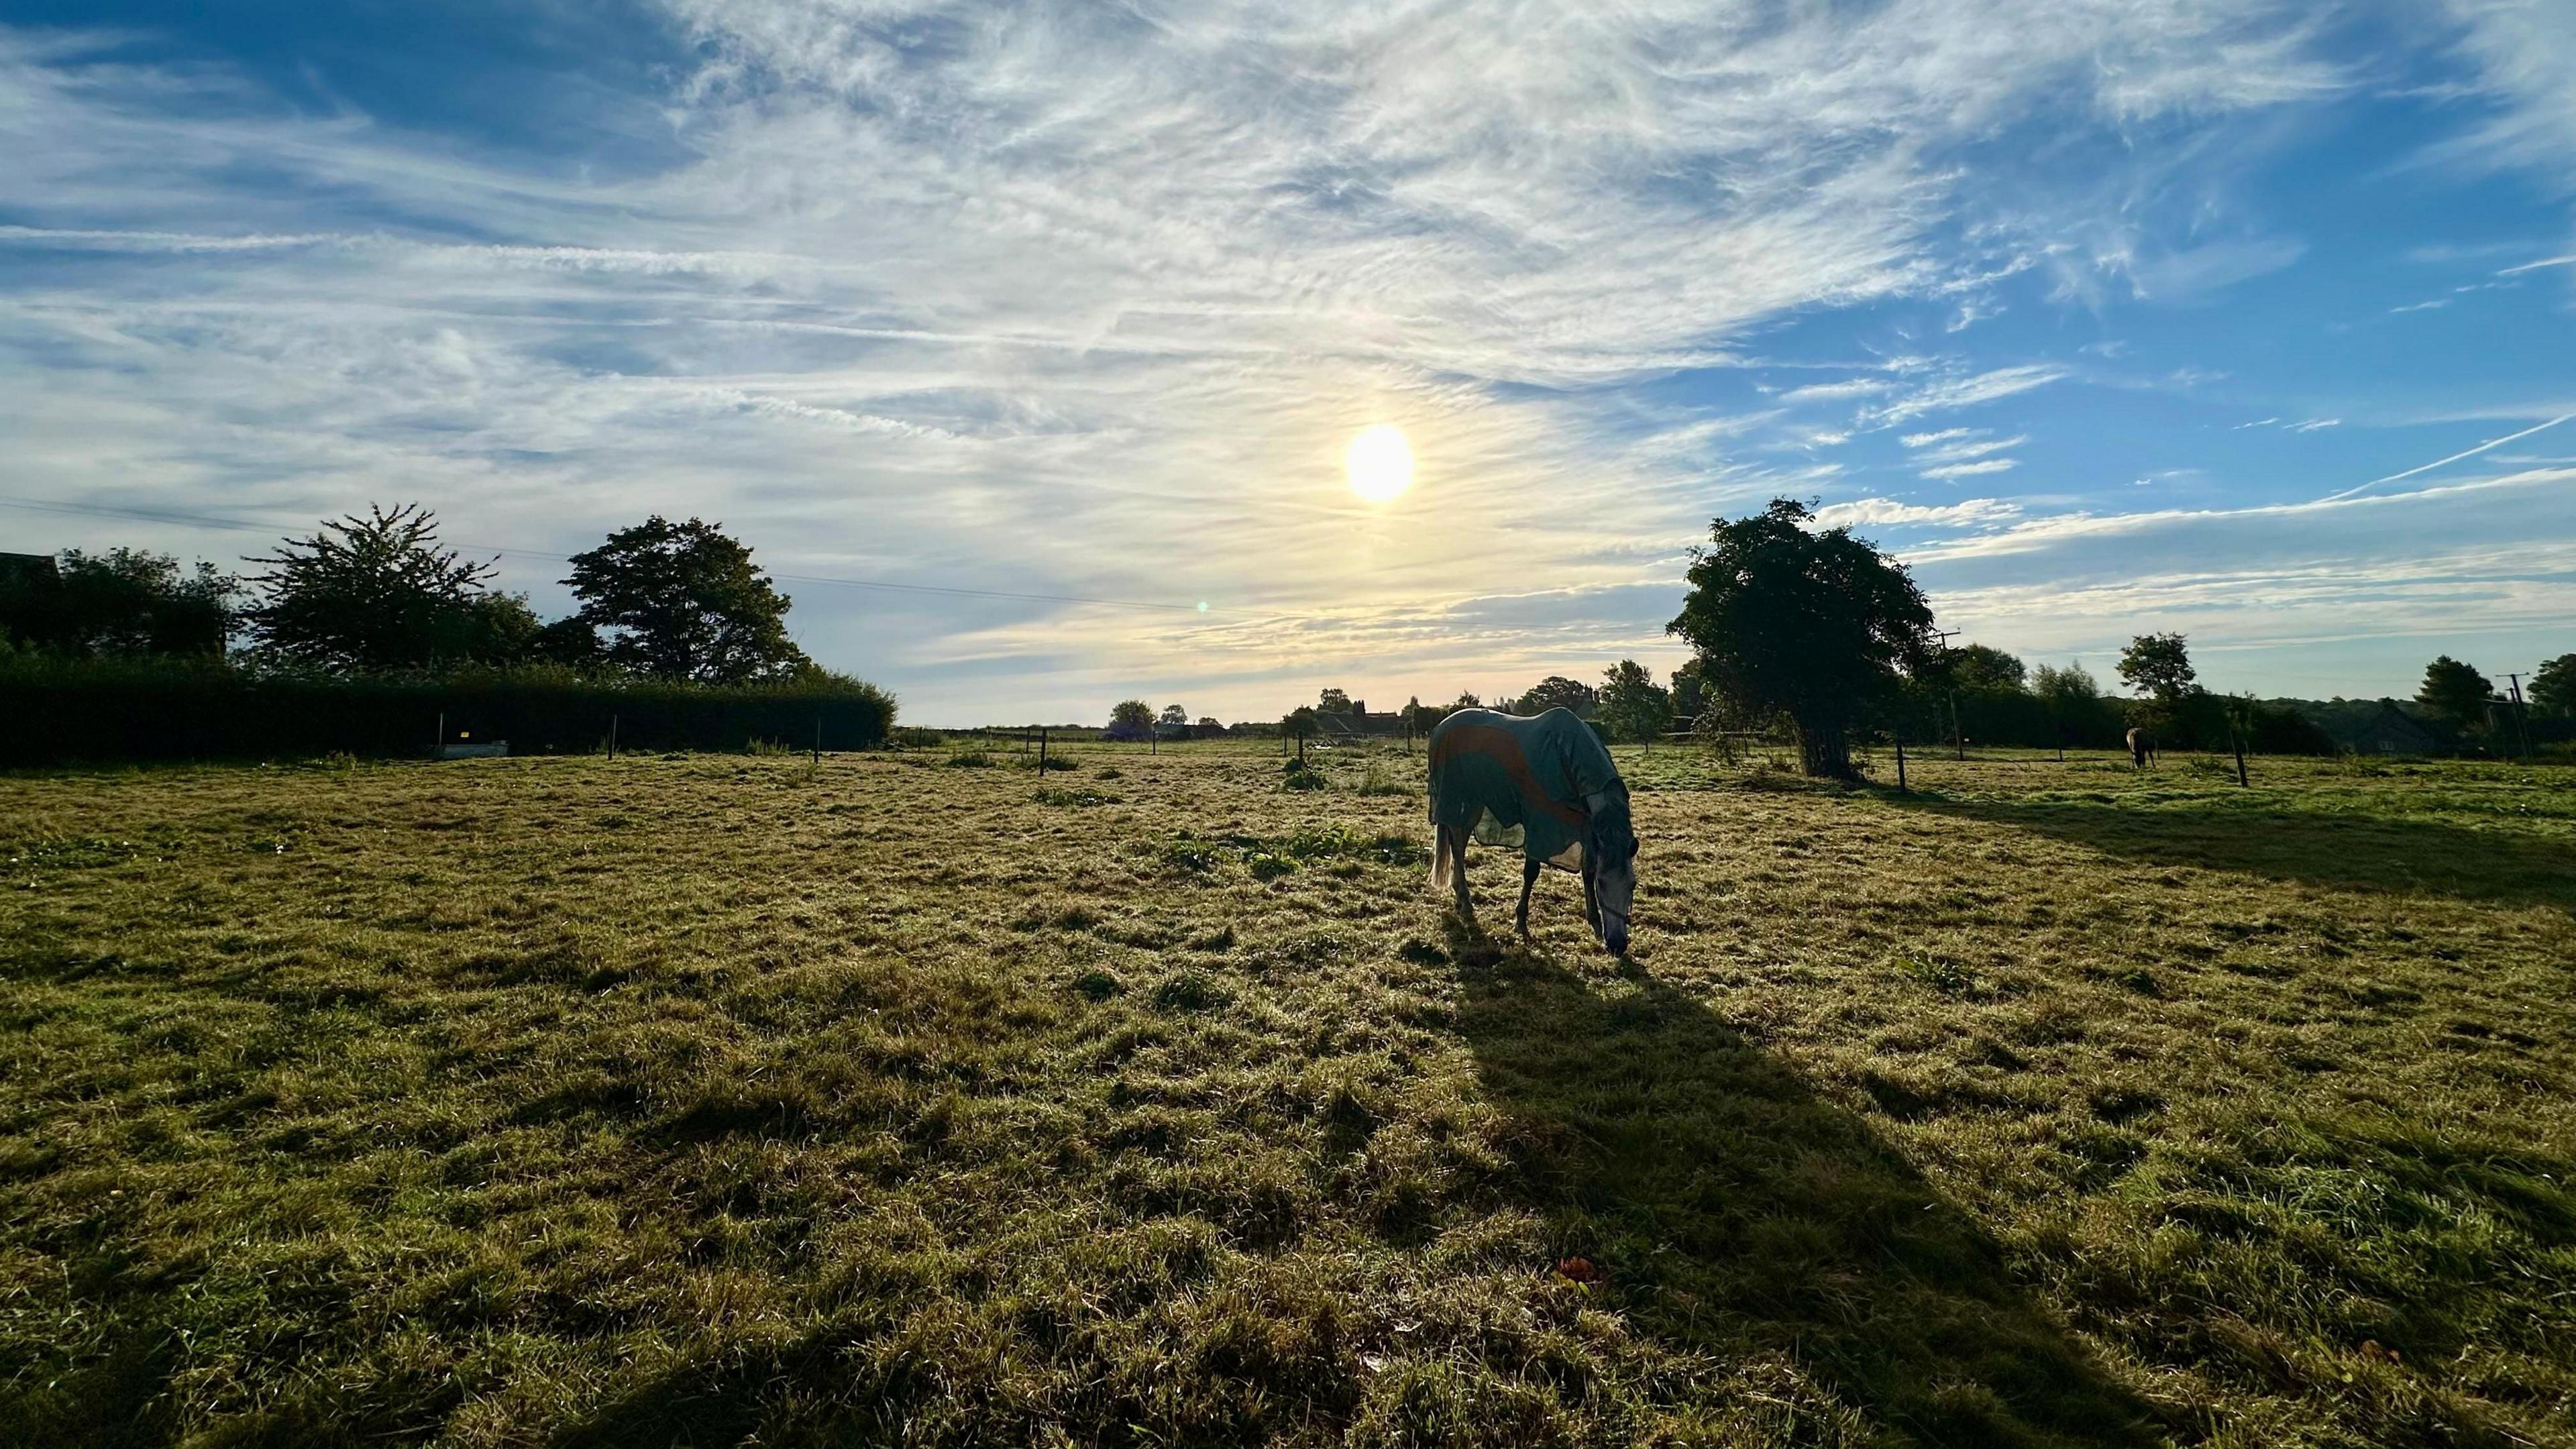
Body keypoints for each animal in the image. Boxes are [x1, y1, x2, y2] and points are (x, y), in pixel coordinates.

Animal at [1432, 701, 1627, 949]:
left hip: (1473, 805)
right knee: (1457, 849)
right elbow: (1531, 872)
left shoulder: (1587, 829)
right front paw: (1521, 921)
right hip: (1458, 801)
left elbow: (1588, 870)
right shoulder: (1539, 823)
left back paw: (1460, 898)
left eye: (1633, 884)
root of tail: (1440, 728)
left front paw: (1595, 923)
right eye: (1603, 885)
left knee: (1458, 845)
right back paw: (1466, 902)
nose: (1618, 945)